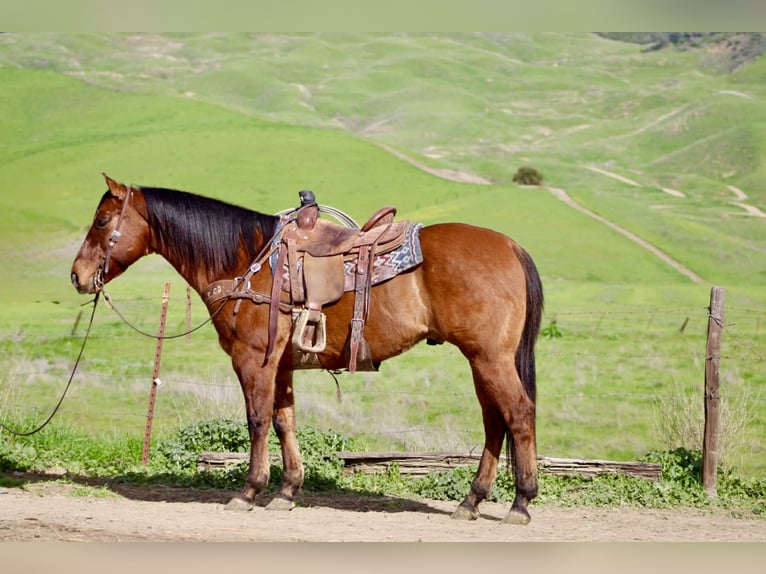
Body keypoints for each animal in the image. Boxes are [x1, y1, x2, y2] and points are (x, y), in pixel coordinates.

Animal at [71, 173, 543, 525]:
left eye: (101, 222)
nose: (77, 275)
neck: (246, 262)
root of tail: (511, 247)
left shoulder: (253, 360)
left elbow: (257, 421)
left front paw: (249, 491)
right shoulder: (280, 366)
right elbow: (285, 422)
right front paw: (287, 490)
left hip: (490, 358)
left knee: (518, 415)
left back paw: (520, 503)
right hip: (481, 360)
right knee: (494, 422)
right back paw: (471, 501)